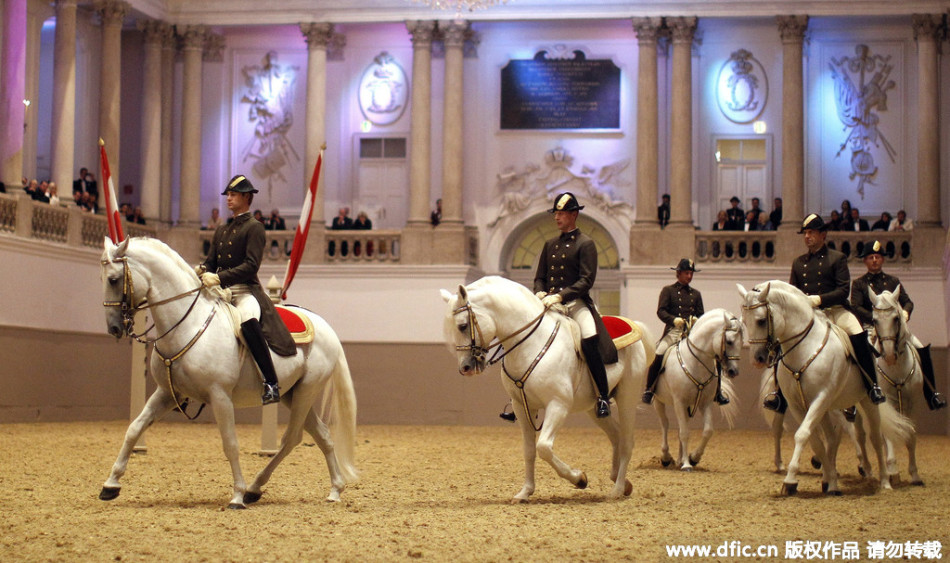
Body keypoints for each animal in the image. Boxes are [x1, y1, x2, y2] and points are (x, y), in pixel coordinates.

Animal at [99, 236, 360, 508]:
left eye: (114, 279)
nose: (115, 328)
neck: (188, 323)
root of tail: (326, 327)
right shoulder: (167, 393)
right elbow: (134, 429)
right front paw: (110, 485)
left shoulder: (220, 396)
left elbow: (230, 443)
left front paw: (236, 495)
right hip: (294, 394)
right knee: (322, 435)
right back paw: (334, 489)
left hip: (307, 391)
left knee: (292, 438)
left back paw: (254, 488)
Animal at [440, 278, 656, 502]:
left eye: (463, 326)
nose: (465, 368)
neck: (531, 344)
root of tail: (632, 324)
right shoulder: (521, 406)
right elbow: (529, 450)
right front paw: (525, 492)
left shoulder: (557, 405)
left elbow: (543, 447)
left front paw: (579, 478)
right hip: (594, 408)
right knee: (615, 435)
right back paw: (621, 482)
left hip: (627, 397)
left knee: (627, 441)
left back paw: (617, 489)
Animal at [656, 308, 744, 472]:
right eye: (729, 341)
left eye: (742, 342)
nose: (733, 372)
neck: (695, 362)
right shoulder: (679, 402)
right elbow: (684, 432)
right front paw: (686, 464)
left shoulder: (705, 403)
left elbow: (707, 431)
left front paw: (693, 458)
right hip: (658, 401)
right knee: (665, 424)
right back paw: (666, 458)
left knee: (680, 426)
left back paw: (678, 459)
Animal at [736, 280, 916, 494]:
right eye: (745, 322)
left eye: (762, 321)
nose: (758, 359)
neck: (804, 349)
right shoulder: (798, 405)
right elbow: (814, 440)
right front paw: (828, 479)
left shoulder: (821, 397)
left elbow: (803, 435)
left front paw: (790, 480)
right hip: (830, 408)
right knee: (832, 436)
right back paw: (832, 480)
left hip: (866, 401)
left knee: (874, 437)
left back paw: (885, 481)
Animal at [872, 286, 924, 484]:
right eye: (875, 320)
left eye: (896, 318)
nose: (889, 355)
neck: (897, 369)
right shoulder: (886, 403)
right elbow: (888, 435)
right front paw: (892, 470)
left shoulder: (913, 404)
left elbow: (911, 435)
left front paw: (915, 475)